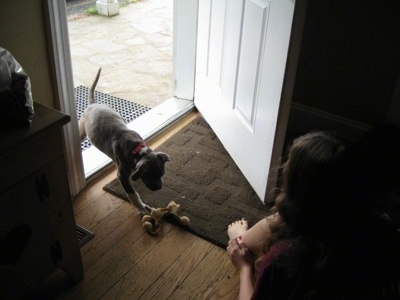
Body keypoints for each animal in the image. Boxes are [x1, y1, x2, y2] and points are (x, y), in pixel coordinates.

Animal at [79, 69, 170, 216]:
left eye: (161, 174)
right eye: (149, 175)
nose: (158, 188)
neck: (137, 150)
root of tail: (93, 104)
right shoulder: (122, 176)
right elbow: (133, 194)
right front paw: (141, 207)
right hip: (82, 131)